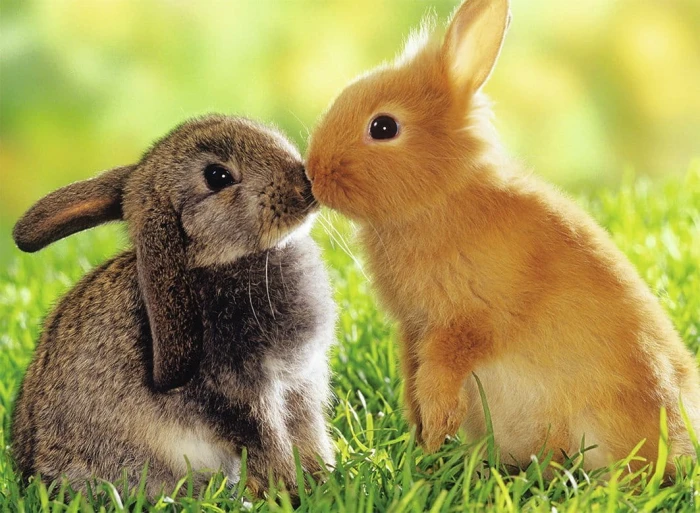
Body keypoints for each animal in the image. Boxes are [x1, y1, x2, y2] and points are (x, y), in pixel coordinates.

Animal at [11, 114, 336, 499]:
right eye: (217, 176)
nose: (305, 186)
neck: (212, 260)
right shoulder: (241, 392)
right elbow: (269, 443)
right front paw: (292, 490)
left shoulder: (300, 384)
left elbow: (308, 435)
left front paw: (324, 480)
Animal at [305, 0, 700, 475]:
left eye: (383, 127)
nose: (312, 173)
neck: (442, 197)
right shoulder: (413, 330)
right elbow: (413, 379)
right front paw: (421, 442)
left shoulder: (465, 323)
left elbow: (439, 377)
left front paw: (434, 435)